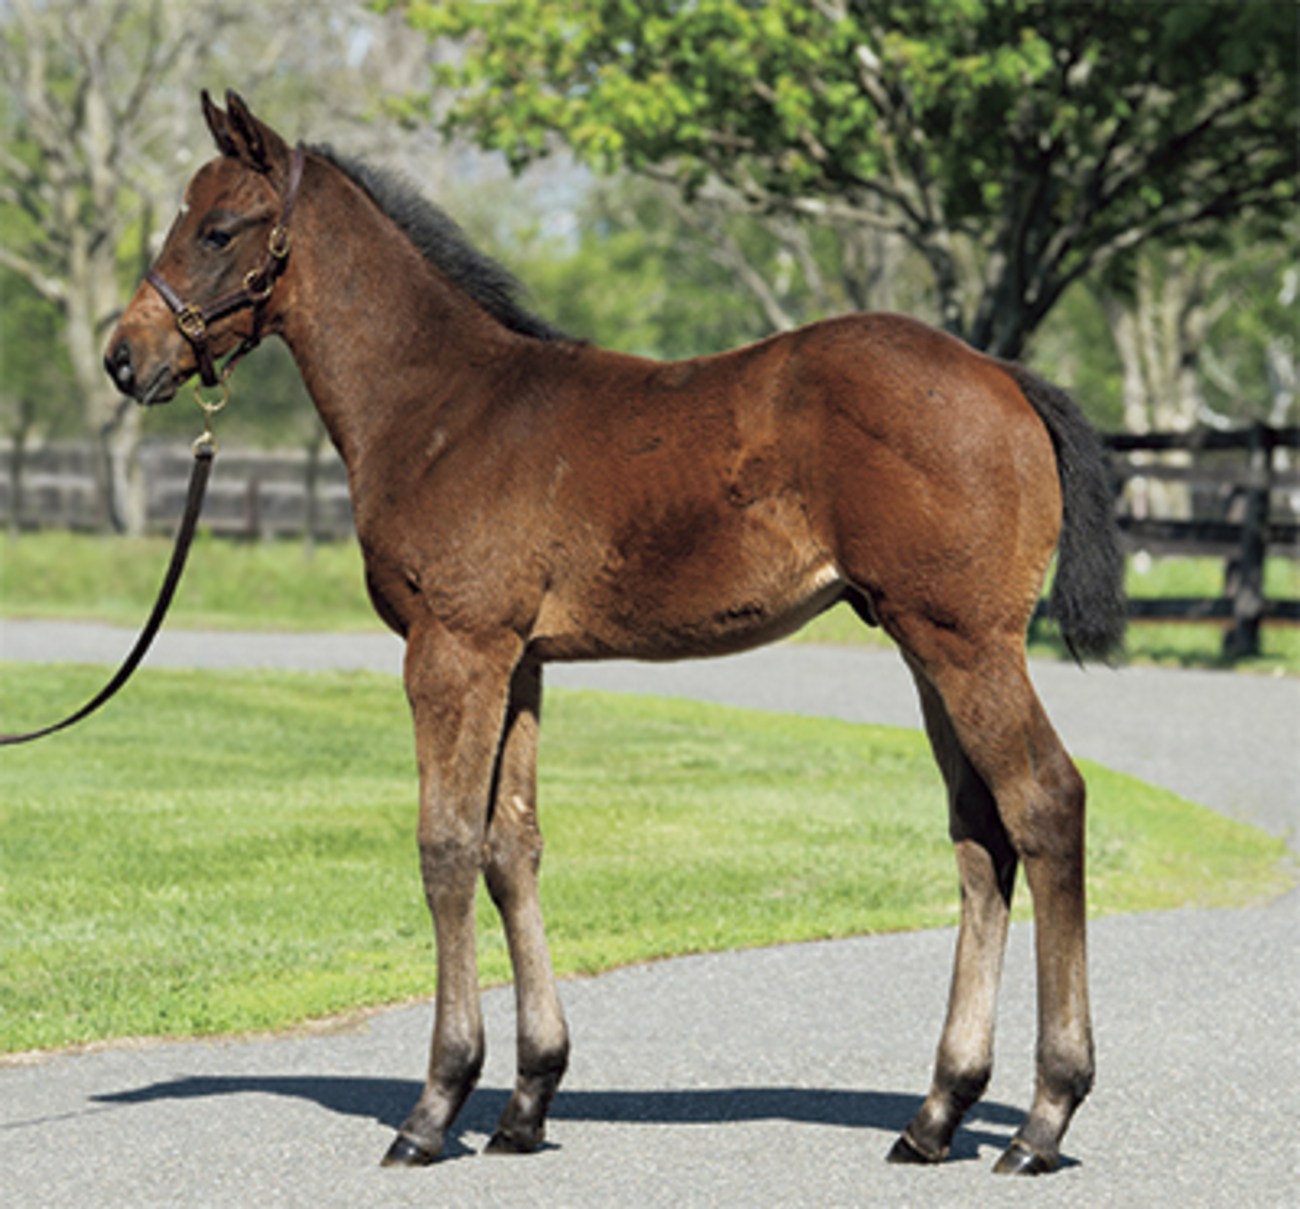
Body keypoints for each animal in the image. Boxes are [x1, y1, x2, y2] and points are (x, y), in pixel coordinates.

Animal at [105, 91, 1125, 1177]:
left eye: (218, 229)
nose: (125, 358)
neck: (440, 407)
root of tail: (1005, 377)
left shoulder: (452, 648)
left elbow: (444, 845)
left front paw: (434, 1106)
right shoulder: (518, 661)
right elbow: (511, 847)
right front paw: (526, 1100)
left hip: (966, 641)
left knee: (1045, 804)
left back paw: (1044, 1116)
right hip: (924, 644)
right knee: (980, 832)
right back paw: (936, 1113)